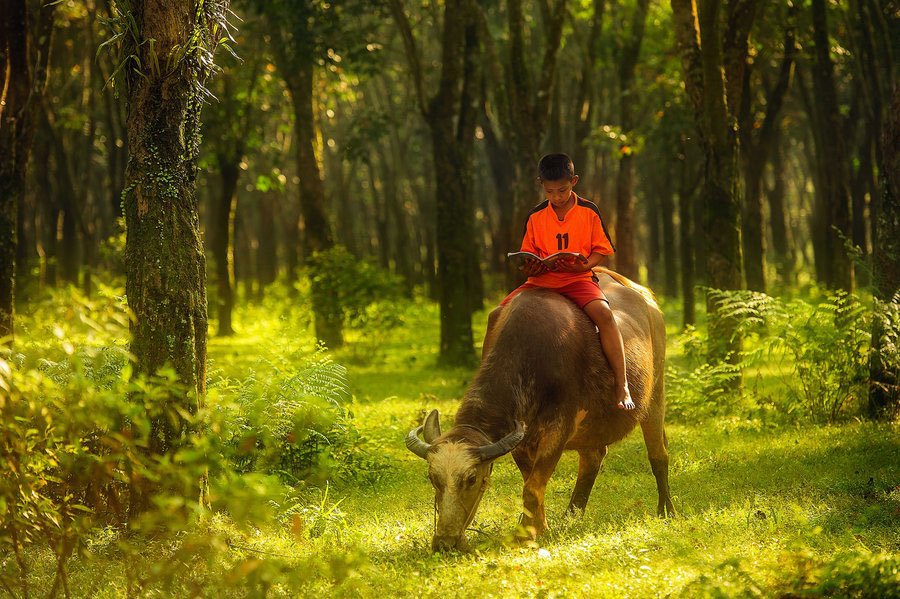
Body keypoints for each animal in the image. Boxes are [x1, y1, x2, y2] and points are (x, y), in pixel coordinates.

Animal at [404, 270, 672, 552]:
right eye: (432, 478)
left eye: (472, 478)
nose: (446, 542)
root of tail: (646, 297)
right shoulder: (521, 440)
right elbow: (529, 481)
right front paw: (535, 525)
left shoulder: (558, 428)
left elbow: (532, 486)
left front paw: (529, 533)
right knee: (593, 458)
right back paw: (571, 517)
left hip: (655, 394)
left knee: (658, 454)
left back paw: (666, 510)